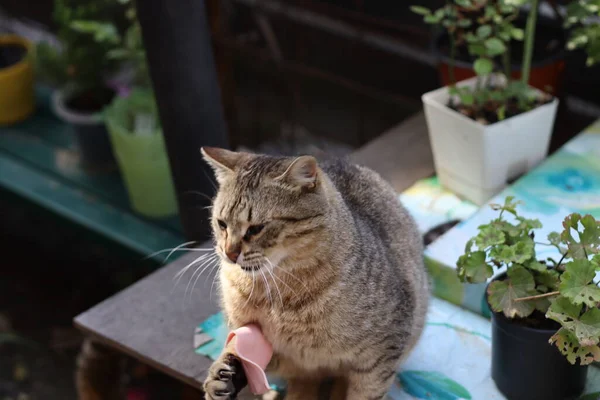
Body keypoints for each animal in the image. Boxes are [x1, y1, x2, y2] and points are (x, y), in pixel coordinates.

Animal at [203, 148, 432, 400]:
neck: (276, 286)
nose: (229, 253)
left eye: (256, 229)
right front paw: (221, 376)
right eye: (221, 224)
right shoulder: (258, 339)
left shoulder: (382, 352)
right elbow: (238, 351)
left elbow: (367, 392)